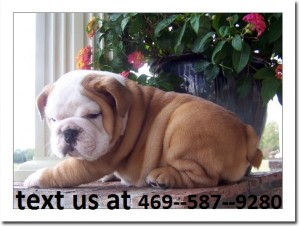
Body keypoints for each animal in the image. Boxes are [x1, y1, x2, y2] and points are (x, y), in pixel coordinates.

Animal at [24, 70, 262, 189]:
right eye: (53, 119)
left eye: (93, 115)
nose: (68, 132)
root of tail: (245, 129)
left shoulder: (99, 158)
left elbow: (63, 170)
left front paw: (35, 178)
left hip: (182, 124)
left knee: (203, 178)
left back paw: (162, 177)